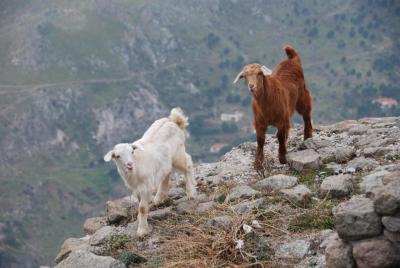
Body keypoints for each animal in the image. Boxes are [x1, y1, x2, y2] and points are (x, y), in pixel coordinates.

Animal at [104, 108, 196, 236]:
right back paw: (158, 199)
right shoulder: (137, 189)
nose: (129, 164)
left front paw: (142, 230)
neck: (136, 167)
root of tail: (174, 121)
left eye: (132, 151)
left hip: (178, 153)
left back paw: (191, 192)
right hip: (165, 161)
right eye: (117, 156)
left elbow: (142, 208)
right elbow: (139, 205)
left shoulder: (146, 186)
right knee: (167, 173)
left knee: (187, 164)